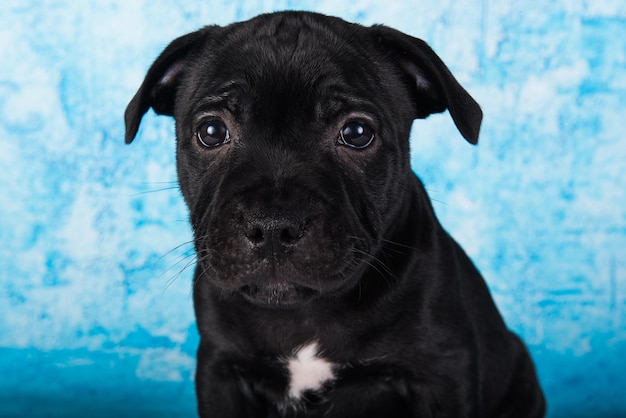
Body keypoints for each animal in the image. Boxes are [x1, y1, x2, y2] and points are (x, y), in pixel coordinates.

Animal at [124, 10, 544, 418]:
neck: (305, 312)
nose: (273, 226)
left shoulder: (442, 374)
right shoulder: (222, 371)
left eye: (357, 132)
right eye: (211, 131)